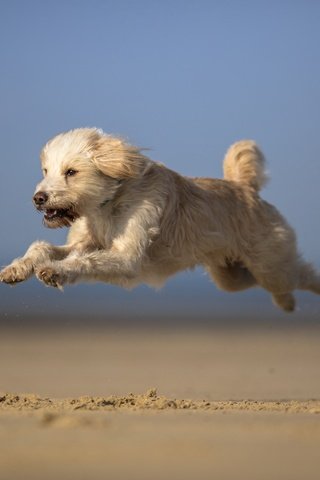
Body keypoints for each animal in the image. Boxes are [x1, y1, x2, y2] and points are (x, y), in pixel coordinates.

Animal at [0, 127, 320, 314]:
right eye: (45, 170)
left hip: (271, 265)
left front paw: (56, 271)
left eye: (71, 172)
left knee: (300, 275)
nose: (38, 198)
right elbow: (42, 247)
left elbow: (85, 261)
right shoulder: (84, 242)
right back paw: (287, 302)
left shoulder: (126, 257)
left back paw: (297, 296)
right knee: (271, 284)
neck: (108, 202)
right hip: (231, 276)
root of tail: (246, 188)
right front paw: (17, 269)